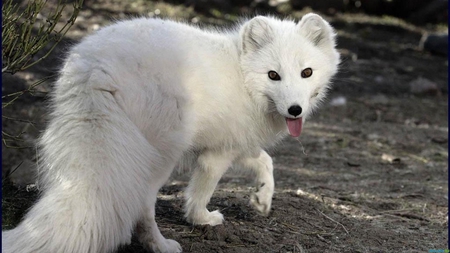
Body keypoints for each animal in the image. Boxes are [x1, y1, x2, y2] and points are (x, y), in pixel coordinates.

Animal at [3, 12, 340, 252]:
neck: (242, 76)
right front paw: (202, 219)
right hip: (161, 155)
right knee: (142, 206)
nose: (295, 110)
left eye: (306, 72)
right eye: (273, 75)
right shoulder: (215, 155)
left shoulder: (232, 142)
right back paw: (160, 245)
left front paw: (262, 199)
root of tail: (96, 69)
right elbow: (201, 191)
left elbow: (265, 162)